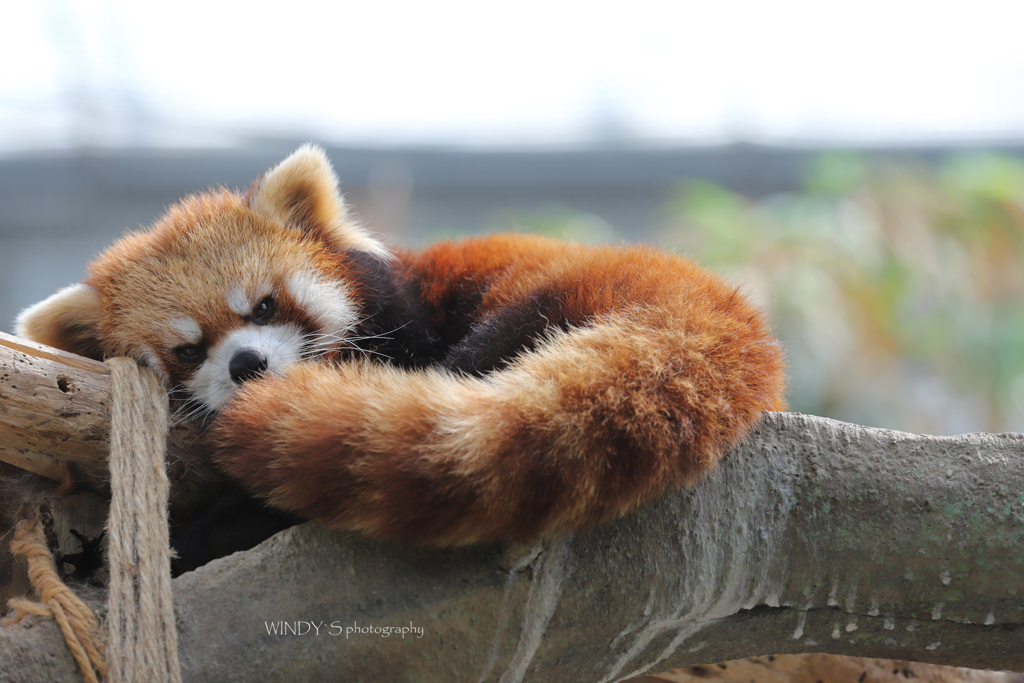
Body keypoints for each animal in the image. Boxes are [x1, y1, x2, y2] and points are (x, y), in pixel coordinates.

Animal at [14, 145, 782, 548]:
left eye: (264, 305)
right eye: (187, 350)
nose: (247, 364)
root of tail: (713, 300)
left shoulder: (407, 319)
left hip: (549, 298)